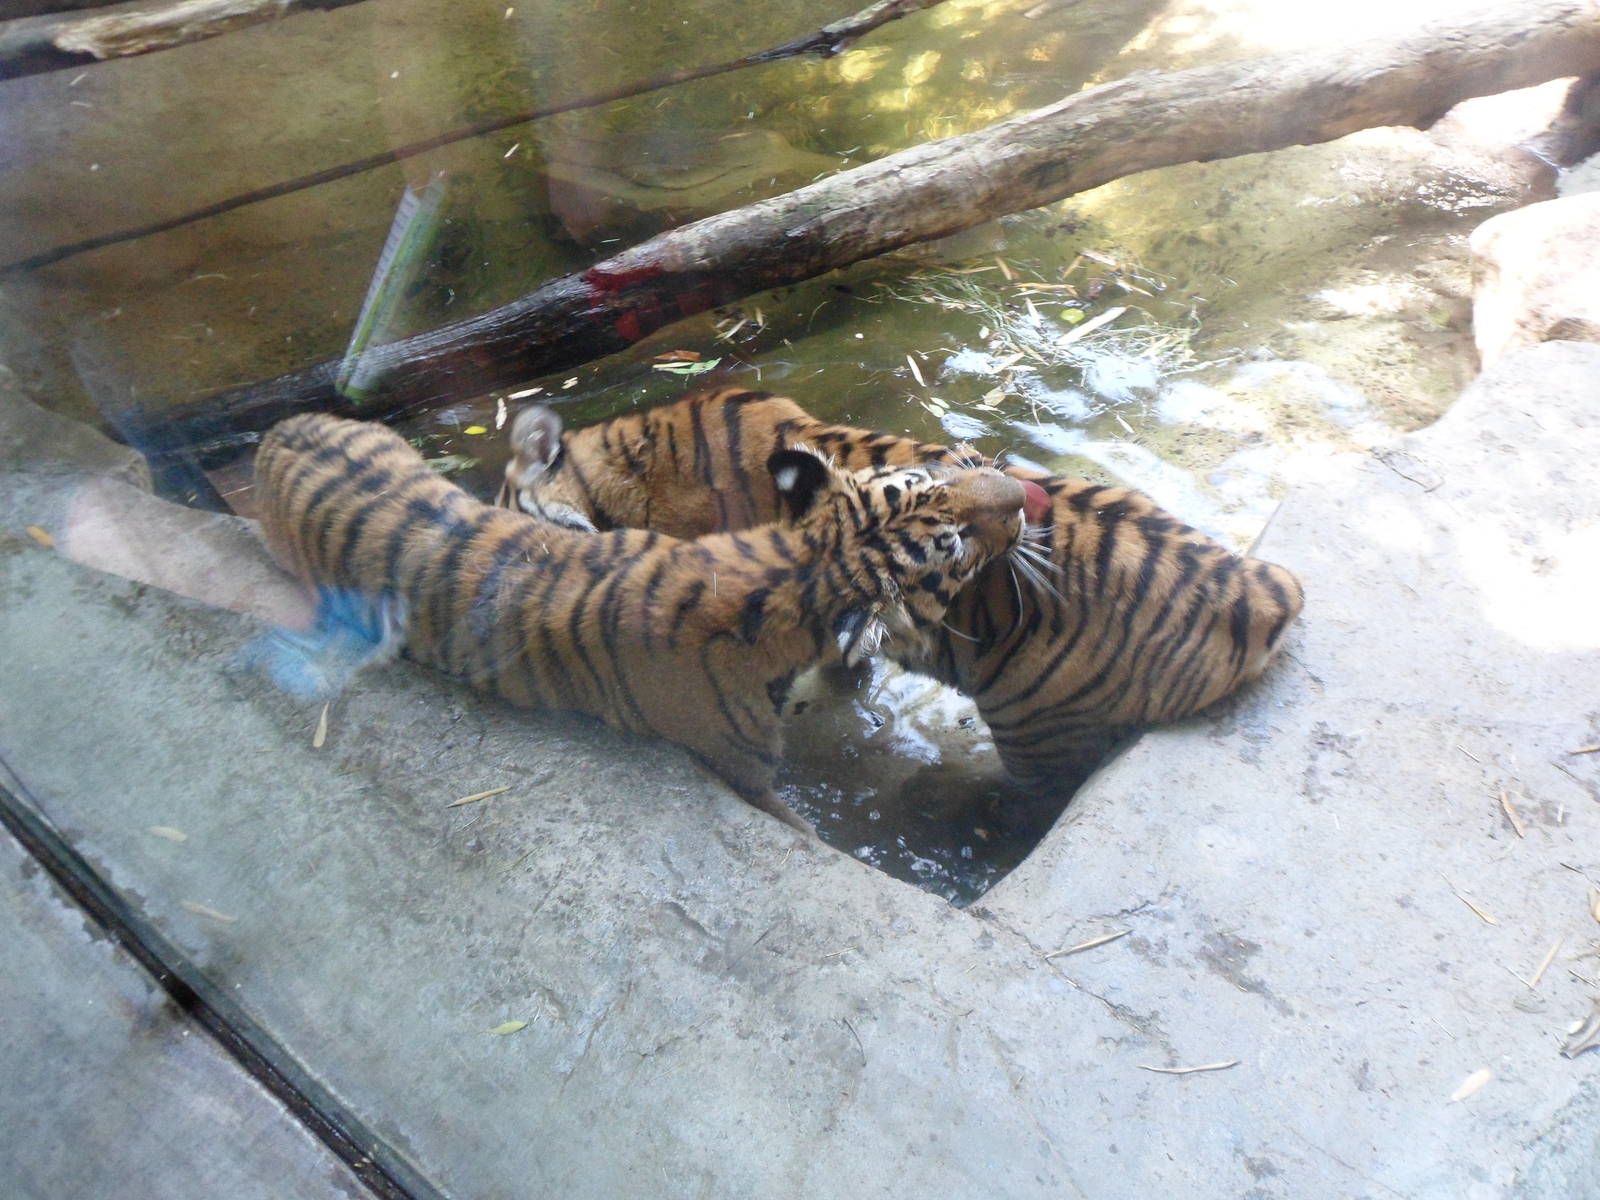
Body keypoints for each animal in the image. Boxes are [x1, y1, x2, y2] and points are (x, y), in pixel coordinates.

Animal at [253, 412, 1035, 832]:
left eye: (929, 482)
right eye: (955, 544)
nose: (1022, 495)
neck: (798, 564)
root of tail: (281, 427)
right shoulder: (747, 774)